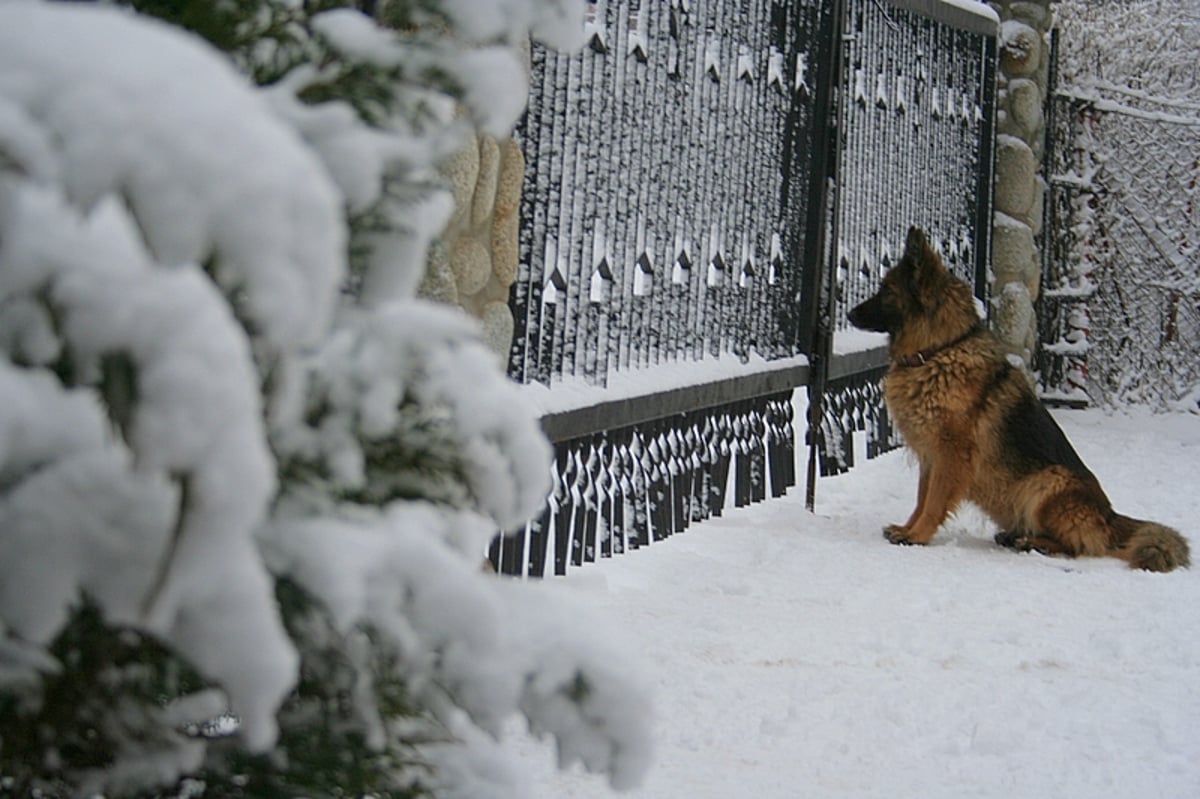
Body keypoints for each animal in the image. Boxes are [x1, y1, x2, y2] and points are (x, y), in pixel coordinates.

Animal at [849, 226, 1185, 568]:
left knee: (1078, 546)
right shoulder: (930, 456)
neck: (939, 350)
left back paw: (1033, 542)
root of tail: (1110, 516)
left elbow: (934, 501)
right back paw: (1016, 536)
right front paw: (908, 528)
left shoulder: (951, 455)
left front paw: (918, 536)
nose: (848, 314)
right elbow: (921, 498)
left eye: (887, 292)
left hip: (1049, 482)